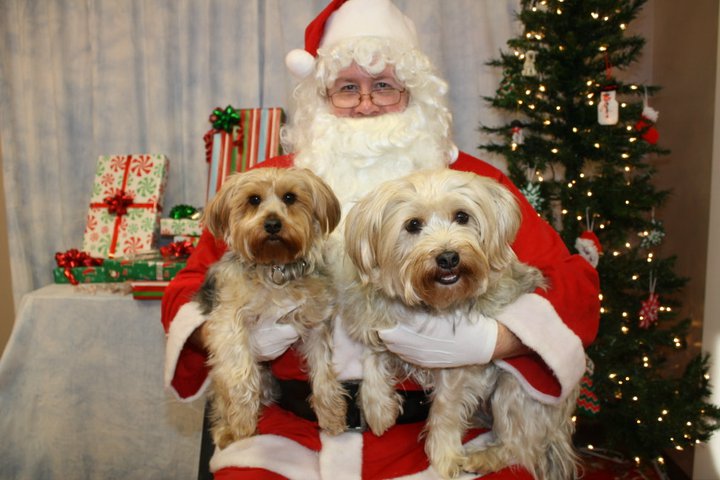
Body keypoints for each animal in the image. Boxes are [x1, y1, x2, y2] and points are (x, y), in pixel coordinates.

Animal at [194, 167, 346, 448]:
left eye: (290, 197)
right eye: (254, 199)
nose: (273, 224)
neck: (276, 266)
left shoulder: (316, 325)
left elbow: (323, 372)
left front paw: (331, 415)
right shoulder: (228, 323)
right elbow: (241, 373)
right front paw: (243, 422)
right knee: (222, 393)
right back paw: (228, 429)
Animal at [342, 170, 580, 480]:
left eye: (462, 216)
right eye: (413, 224)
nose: (448, 257)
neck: (429, 303)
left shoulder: (458, 366)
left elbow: (446, 408)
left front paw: (444, 457)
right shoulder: (380, 322)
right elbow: (372, 356)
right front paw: (378, 408)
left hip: (516, 390)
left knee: (520, 448)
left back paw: (484, 458)